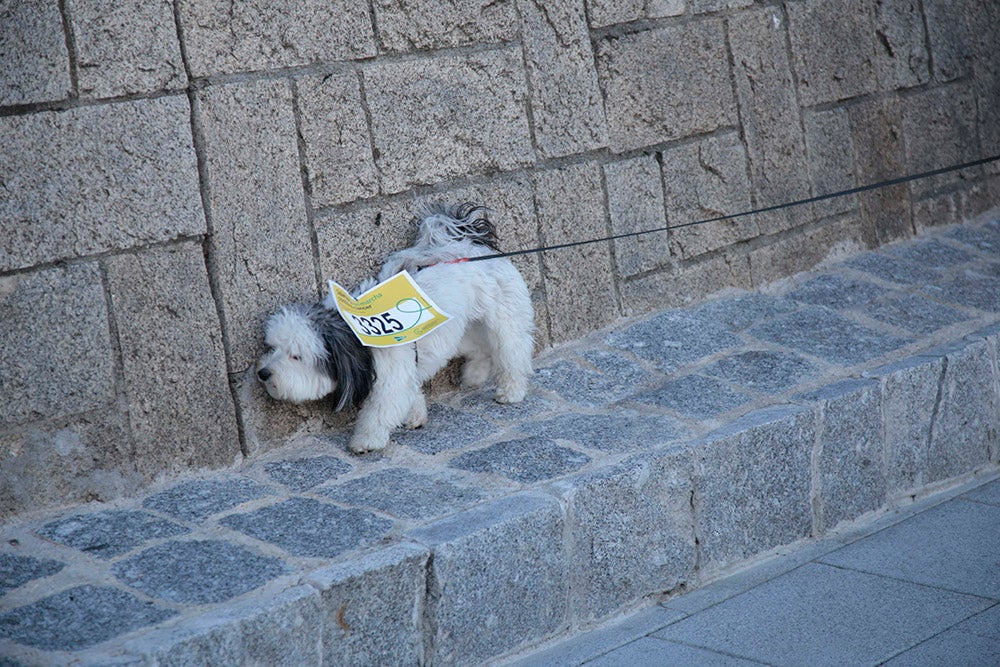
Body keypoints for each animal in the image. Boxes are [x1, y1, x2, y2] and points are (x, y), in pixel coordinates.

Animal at [258, 204, 540, 454]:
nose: (263, 373)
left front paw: (366, 441)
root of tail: (473, 246)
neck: (355, 335)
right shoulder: (404, 368)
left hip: (505, 319)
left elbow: (380, 411)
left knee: (512, 351)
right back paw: (474, 375)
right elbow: (410, 391)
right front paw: (415, 415)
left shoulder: (390, 377)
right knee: (481, 348)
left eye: (296, 356)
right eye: (272, 348)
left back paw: (511, 390)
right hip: (462, 328)